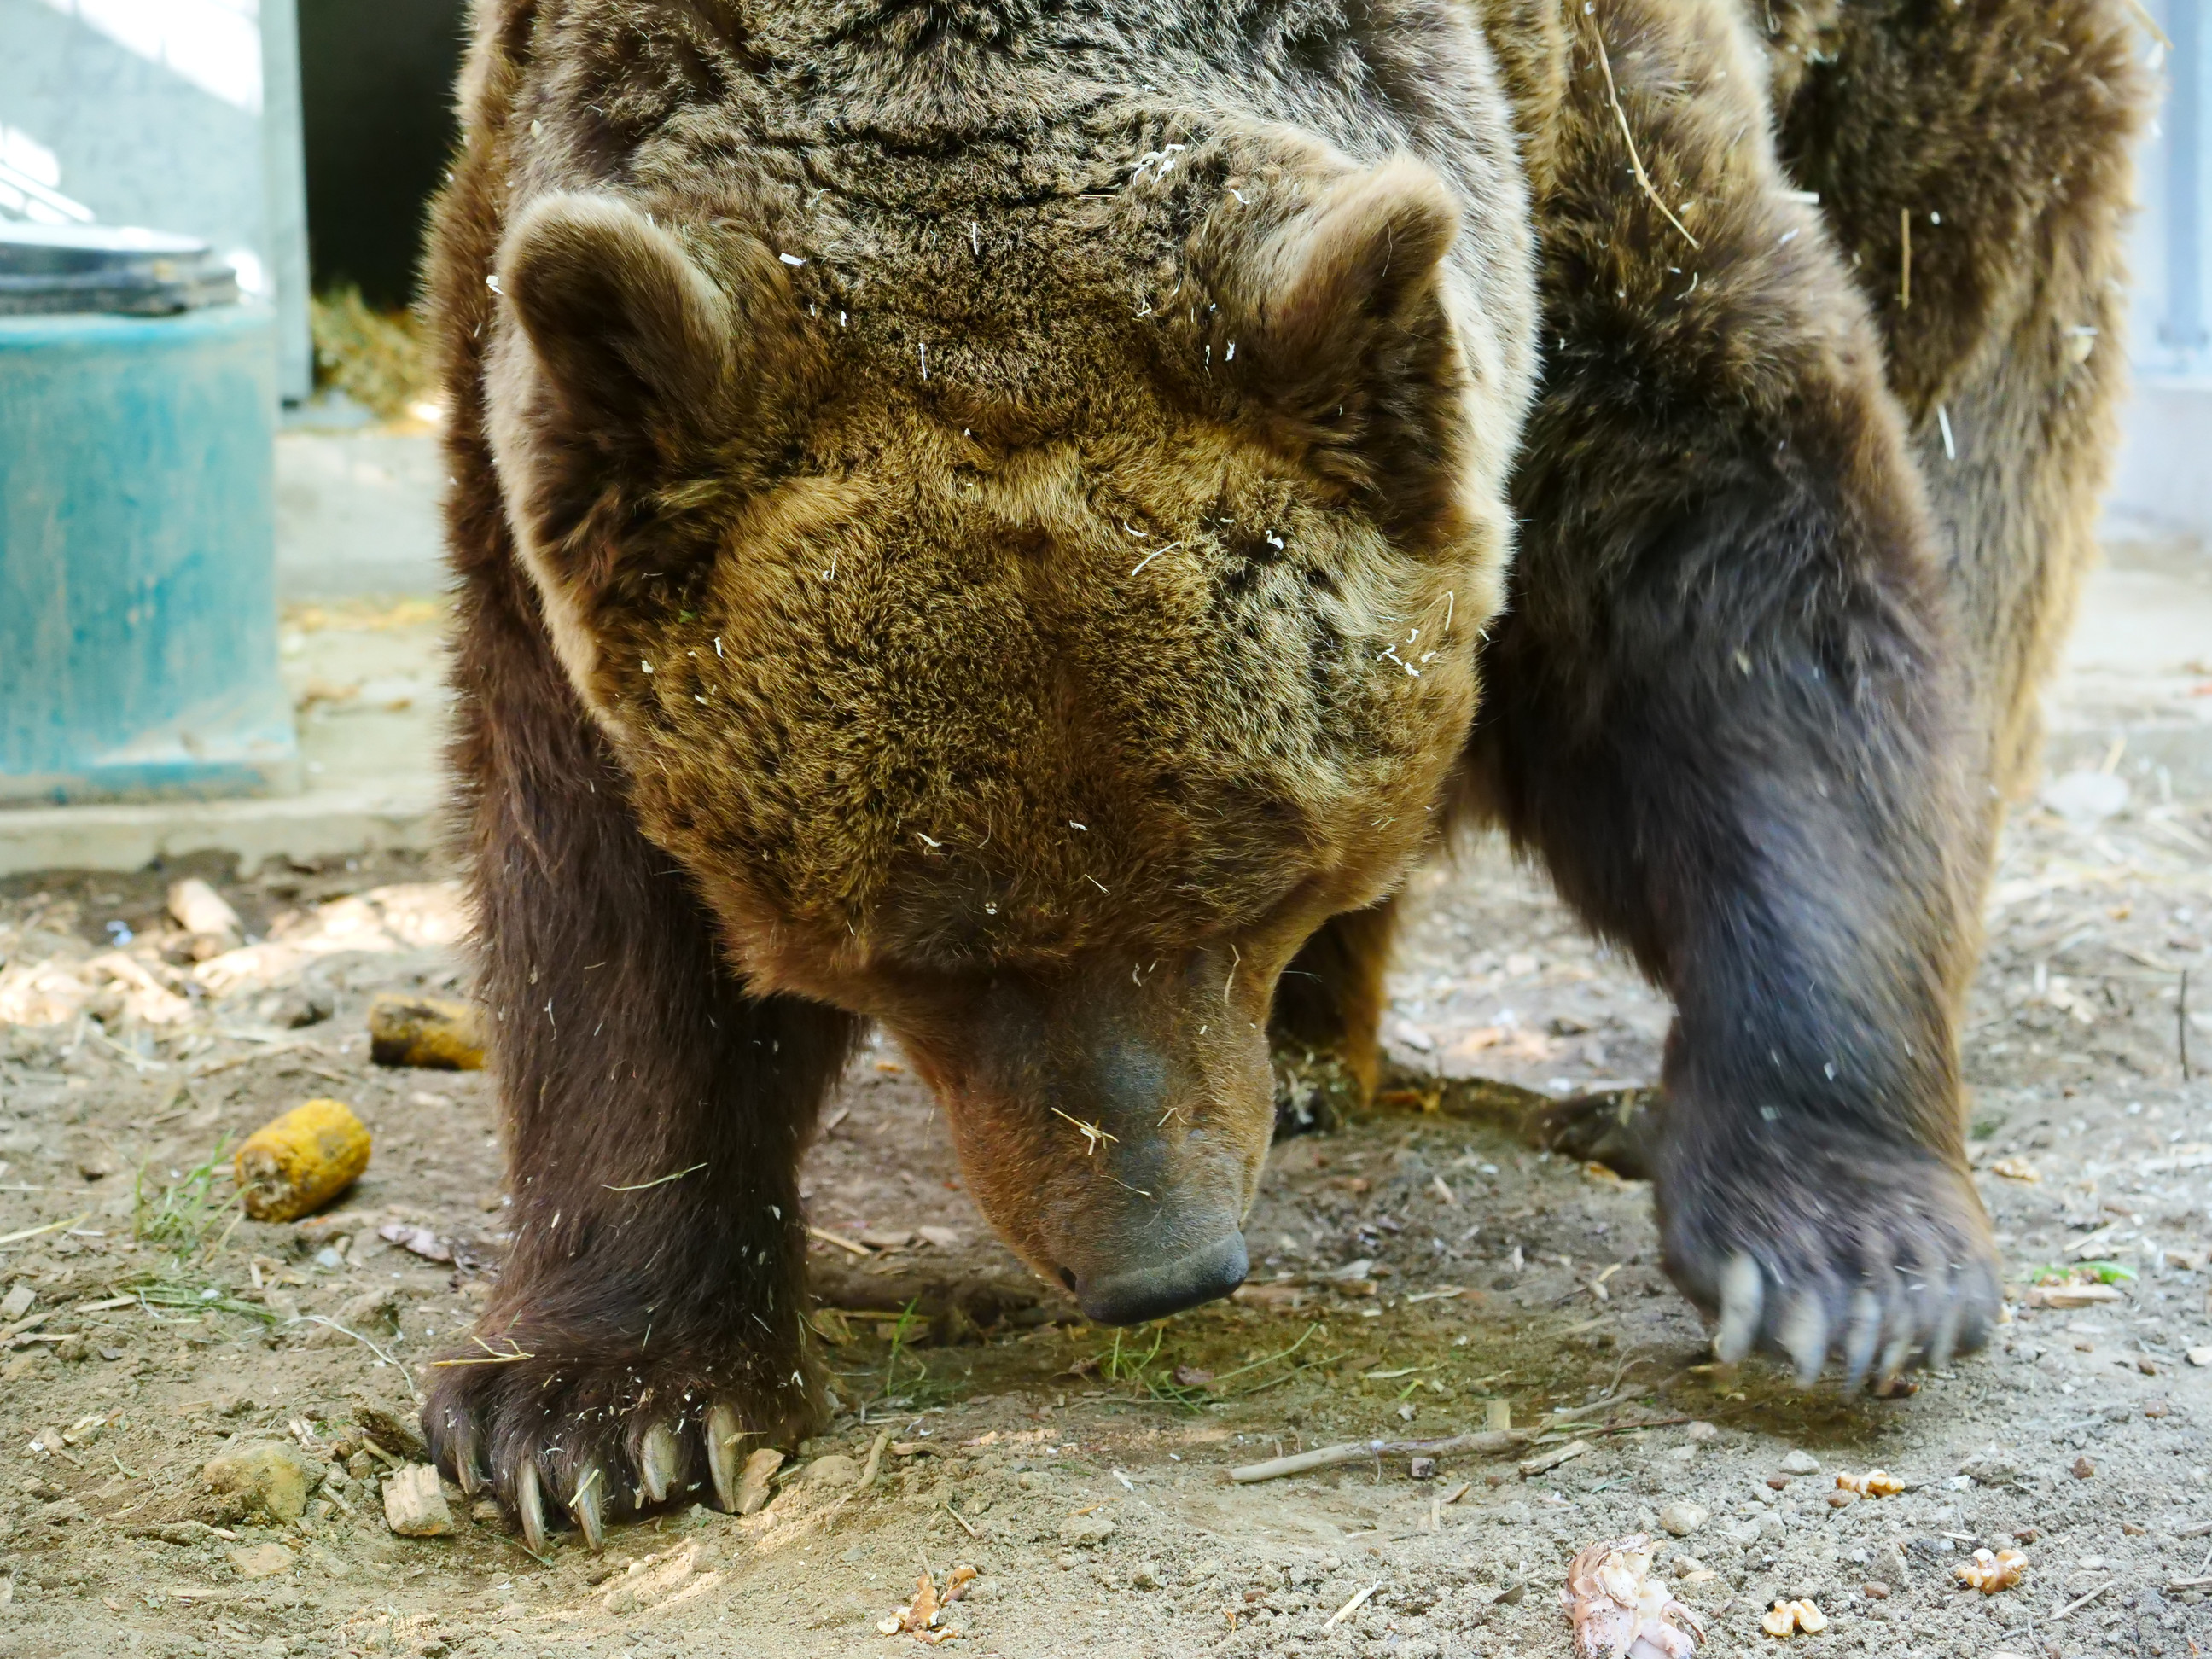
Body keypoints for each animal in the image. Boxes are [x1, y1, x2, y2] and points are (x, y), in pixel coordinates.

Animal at [420, 0, 2146, 1549]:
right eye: (918, 949)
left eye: (1245, 886)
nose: (1158, 1265)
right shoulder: (538, 336)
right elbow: (599, 893)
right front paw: (601, 1406)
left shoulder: (1597, 185)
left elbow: (1755, 601)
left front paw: (1844, 1261)